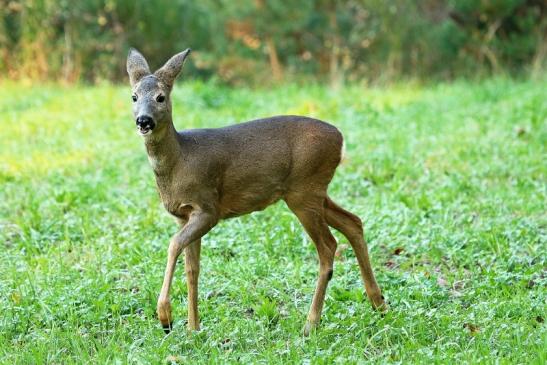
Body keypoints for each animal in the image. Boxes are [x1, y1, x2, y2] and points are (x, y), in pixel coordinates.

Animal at [127, 48, 388, 336]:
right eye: (134, 96)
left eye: (161, 97)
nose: (143, 120)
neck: (180, 160)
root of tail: (340, 139)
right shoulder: (183, 216)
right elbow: (192, 269)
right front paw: (193, 328)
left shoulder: (208, 208)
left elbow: (174, 245)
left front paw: (166, 316)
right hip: (312, 190)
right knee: (353, 222)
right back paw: (378, 303)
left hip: (304, 191)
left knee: (329, 246)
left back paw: (310, 324)